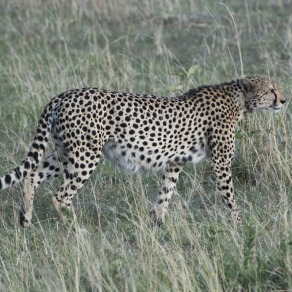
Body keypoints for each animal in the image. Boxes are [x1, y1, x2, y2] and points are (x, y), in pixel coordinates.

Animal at [0, 75, 286, 226]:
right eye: (271, 89)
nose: (284, 100)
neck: (239, 99)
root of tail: (63, 95)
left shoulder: (174, 162)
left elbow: (165, 194)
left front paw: (159, 224)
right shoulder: (221, 162)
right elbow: (230, 196)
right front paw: (240, 223)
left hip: (65, 152)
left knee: (31, 176)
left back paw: (26, 220)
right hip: (85, 156)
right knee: (60, 195)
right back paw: (77, 230)